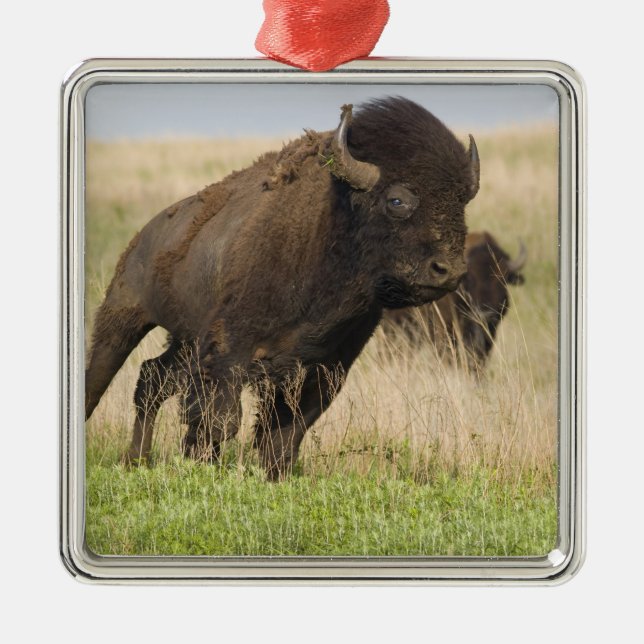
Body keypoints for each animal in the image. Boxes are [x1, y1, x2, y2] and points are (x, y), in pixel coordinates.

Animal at [85, 97, 480, 480]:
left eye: (461, 202)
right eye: (397, 200)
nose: (449, 270)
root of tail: (144, 236)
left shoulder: (326, 368)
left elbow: (287, 430)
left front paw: (275, 474)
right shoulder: (229, 351)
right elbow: (221, 420)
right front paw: (203, 465)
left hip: (183, 343)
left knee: (151, 379)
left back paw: (136, 460)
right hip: (122, 317)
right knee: (103, 377)